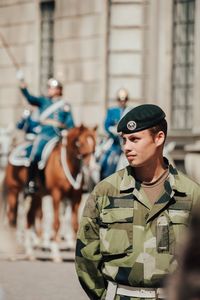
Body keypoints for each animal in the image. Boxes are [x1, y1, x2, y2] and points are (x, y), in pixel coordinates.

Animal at [3, 124, 97, 260]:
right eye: (79, 143)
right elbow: (56, 222)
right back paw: (13, 253)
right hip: (14, 192)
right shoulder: (56, 195)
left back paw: (30, 252)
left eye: (95, 143)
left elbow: (75, 224)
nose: (92, 167)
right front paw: (55, 253)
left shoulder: (76, 197)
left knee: (29, 217)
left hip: (36, 196)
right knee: (12, 218)